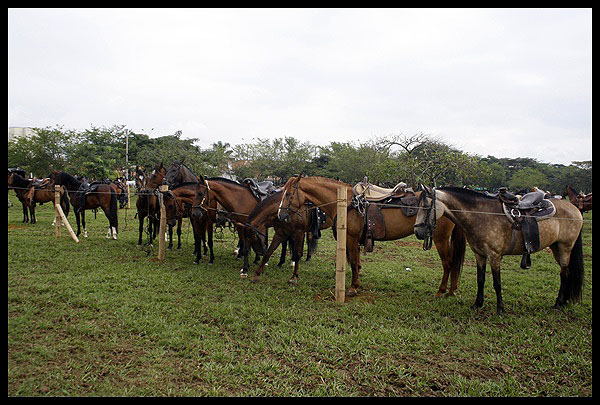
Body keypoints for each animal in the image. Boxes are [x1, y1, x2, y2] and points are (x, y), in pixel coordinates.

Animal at [277, 175, 466, 297]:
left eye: (288, 194)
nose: (280, 215)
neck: (347, 202)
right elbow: (355, 262)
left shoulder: (351, 239)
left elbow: (353, 263)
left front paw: (353, 288)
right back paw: (451, 290)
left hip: (440, 239)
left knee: (448, 263)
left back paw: (441, 291)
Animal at [413, 186, 584, 315]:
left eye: (426, 206)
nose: (417, 231)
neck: (480, 215)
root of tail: (574, 208)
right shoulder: (479, 255)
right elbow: (480, 279)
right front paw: (477, 304)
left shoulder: (494, 256)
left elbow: (497, 283)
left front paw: (500, 309)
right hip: (556, 248)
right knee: (567, 272)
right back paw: (563, 301)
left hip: (565, 247)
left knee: (564, 273)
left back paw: (558, 303)